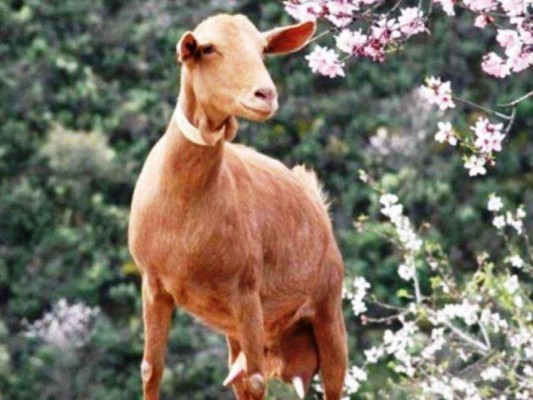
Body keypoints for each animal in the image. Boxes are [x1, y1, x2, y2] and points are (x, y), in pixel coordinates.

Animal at [127, 13, 348, 400]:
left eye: (262, 49)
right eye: (207, 48)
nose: (265, 94)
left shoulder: (245, 290)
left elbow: (258, 380)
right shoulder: (153, 284)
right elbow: (151, 370)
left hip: (327, 304)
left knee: (333, 379)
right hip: (239, 329)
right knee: (240, 379)